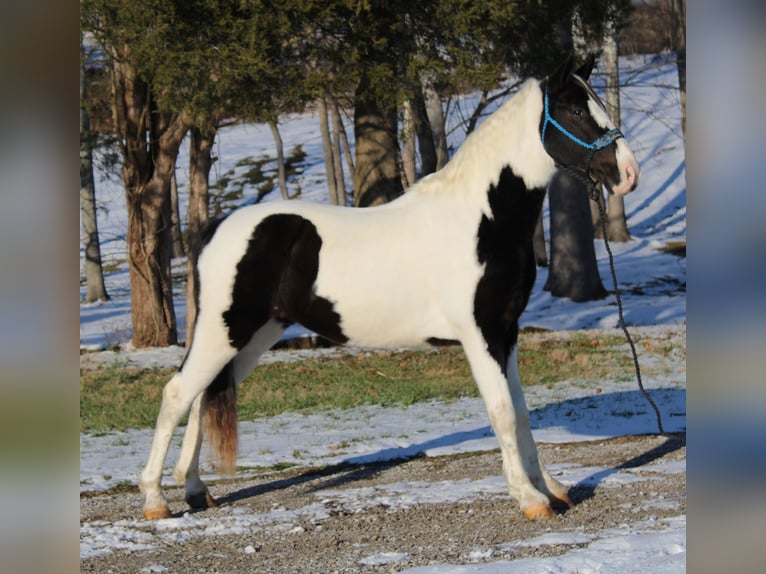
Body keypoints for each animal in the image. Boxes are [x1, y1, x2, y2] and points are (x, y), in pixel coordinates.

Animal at [140, 56, 640, 524]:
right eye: (576, 109)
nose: (628, 173)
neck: (481, 218)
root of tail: (215, 229)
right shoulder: (480, 335)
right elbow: (502, 410)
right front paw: (530, 499)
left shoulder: (506, 332)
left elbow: (521, 411)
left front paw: (551, 488)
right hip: (224, 333)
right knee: (177, 394)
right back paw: (155, 500)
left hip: (251, 337)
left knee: (202, 396)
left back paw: (196, 492)